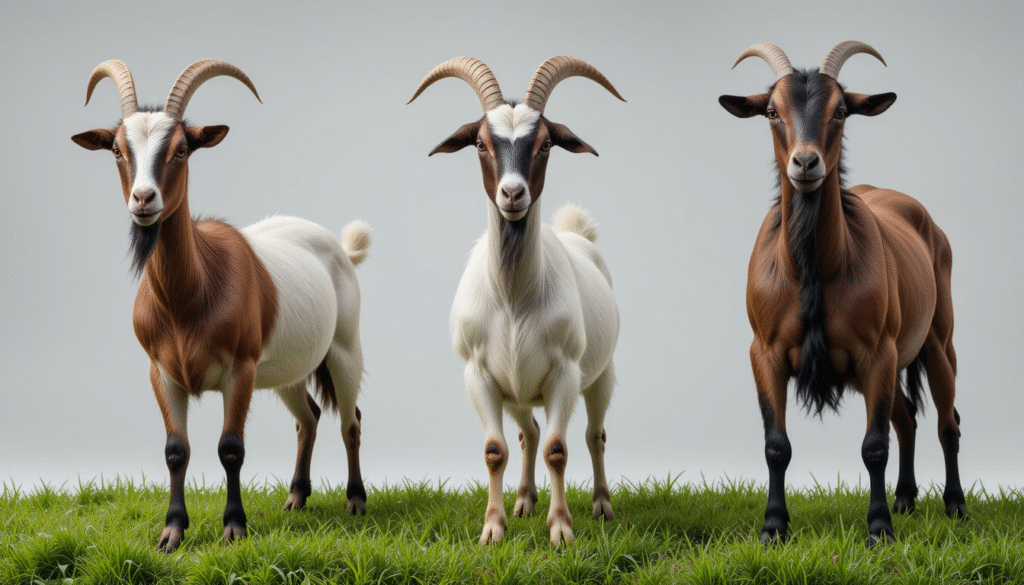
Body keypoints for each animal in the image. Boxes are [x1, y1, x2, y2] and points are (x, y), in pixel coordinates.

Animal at [71, 60, 371, 552]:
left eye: (181, 149)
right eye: (116, 148)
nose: (143, 200)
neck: (189, 296)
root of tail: (342, 250)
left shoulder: (240, 370)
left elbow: (230, 446)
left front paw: (234, 527)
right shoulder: (162, 372)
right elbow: (176, 450)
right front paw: (171, 532)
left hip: (343, 350)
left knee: (351, 421)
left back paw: (357, 501)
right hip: (286, 369)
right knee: (307, 417)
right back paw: (296, 498)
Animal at [408, 56, 624, 546]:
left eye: (545, 144)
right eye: (480, 144)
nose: (512, 193)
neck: (512, 300)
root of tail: (576, 233)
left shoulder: (565, 372)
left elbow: (559, 449)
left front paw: (561, 530)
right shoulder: (479, 375)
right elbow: (495, 450)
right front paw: (493, 527)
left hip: (600, 374)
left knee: (594, 435)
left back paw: (602, 504)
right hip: (519, 392)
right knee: (528, 434)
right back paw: (525, 500)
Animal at [719, 41, 966, 545]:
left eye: (841, 111)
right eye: (771, 111)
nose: (805, 163)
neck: (814, 270)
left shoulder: (878, 352)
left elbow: (874, 447)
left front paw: (879, 530)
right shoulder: (765, 354)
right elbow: (776, 446)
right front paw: (774, 527)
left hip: (937, 342)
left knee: (947, 423)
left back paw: (954, 505)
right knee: (907, 419)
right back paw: (905, 499)